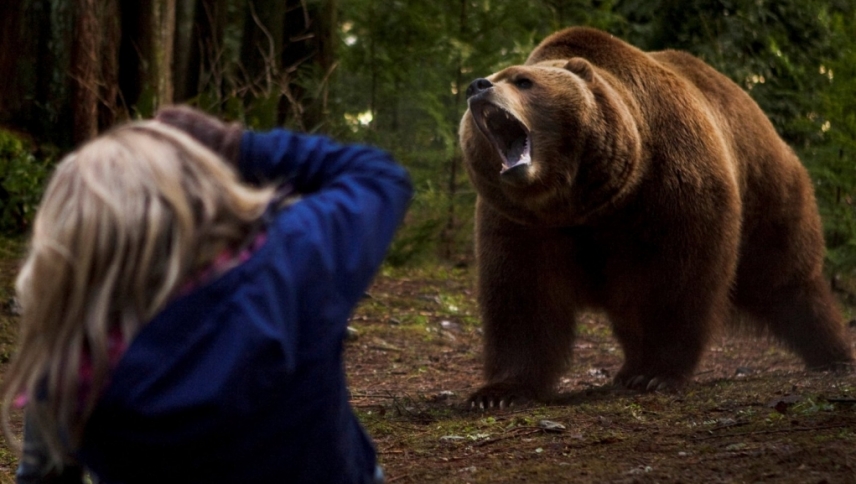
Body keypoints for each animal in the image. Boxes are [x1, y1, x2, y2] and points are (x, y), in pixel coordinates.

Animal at [458, 26, 854, 408]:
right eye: (496, 76)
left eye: (523, 80)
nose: (477, 86)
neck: (582, 201)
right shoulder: (522, 224)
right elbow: (522, 299)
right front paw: (497, 393)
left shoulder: (669, 190)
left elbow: (676, 281)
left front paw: (655, 374)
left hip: (766, 191)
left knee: (787, 279)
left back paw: (833, 354)